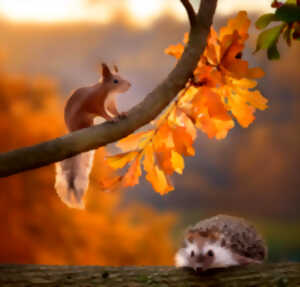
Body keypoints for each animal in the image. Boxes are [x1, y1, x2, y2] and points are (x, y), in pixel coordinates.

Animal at [54, 64, 131, 209]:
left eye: (122, 76)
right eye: (115, 81)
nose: (129, 85)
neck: (109, 92)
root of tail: (72, 130)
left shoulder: (111, 103)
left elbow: (113, 110)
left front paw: (121, 114)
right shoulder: (96, 103)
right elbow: (103, 113)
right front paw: (111, 119)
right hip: (80, 119)